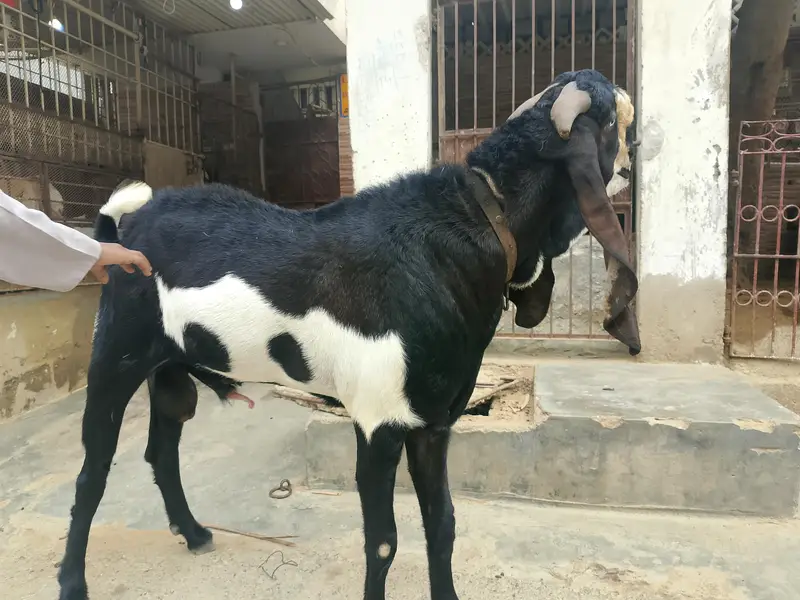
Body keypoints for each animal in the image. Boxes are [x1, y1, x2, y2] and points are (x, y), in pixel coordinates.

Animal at [57, 69, 640, 600]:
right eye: (615, 122)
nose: (635, 162)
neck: (468, 227)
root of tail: (123, 230)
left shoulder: (432, 422)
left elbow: (443, 524)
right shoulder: (378, 420)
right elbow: (383, 542)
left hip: (170, 370)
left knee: (162, 448)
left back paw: (195, 532)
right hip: (116, 356)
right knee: (92, 473)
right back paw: (72, 582)